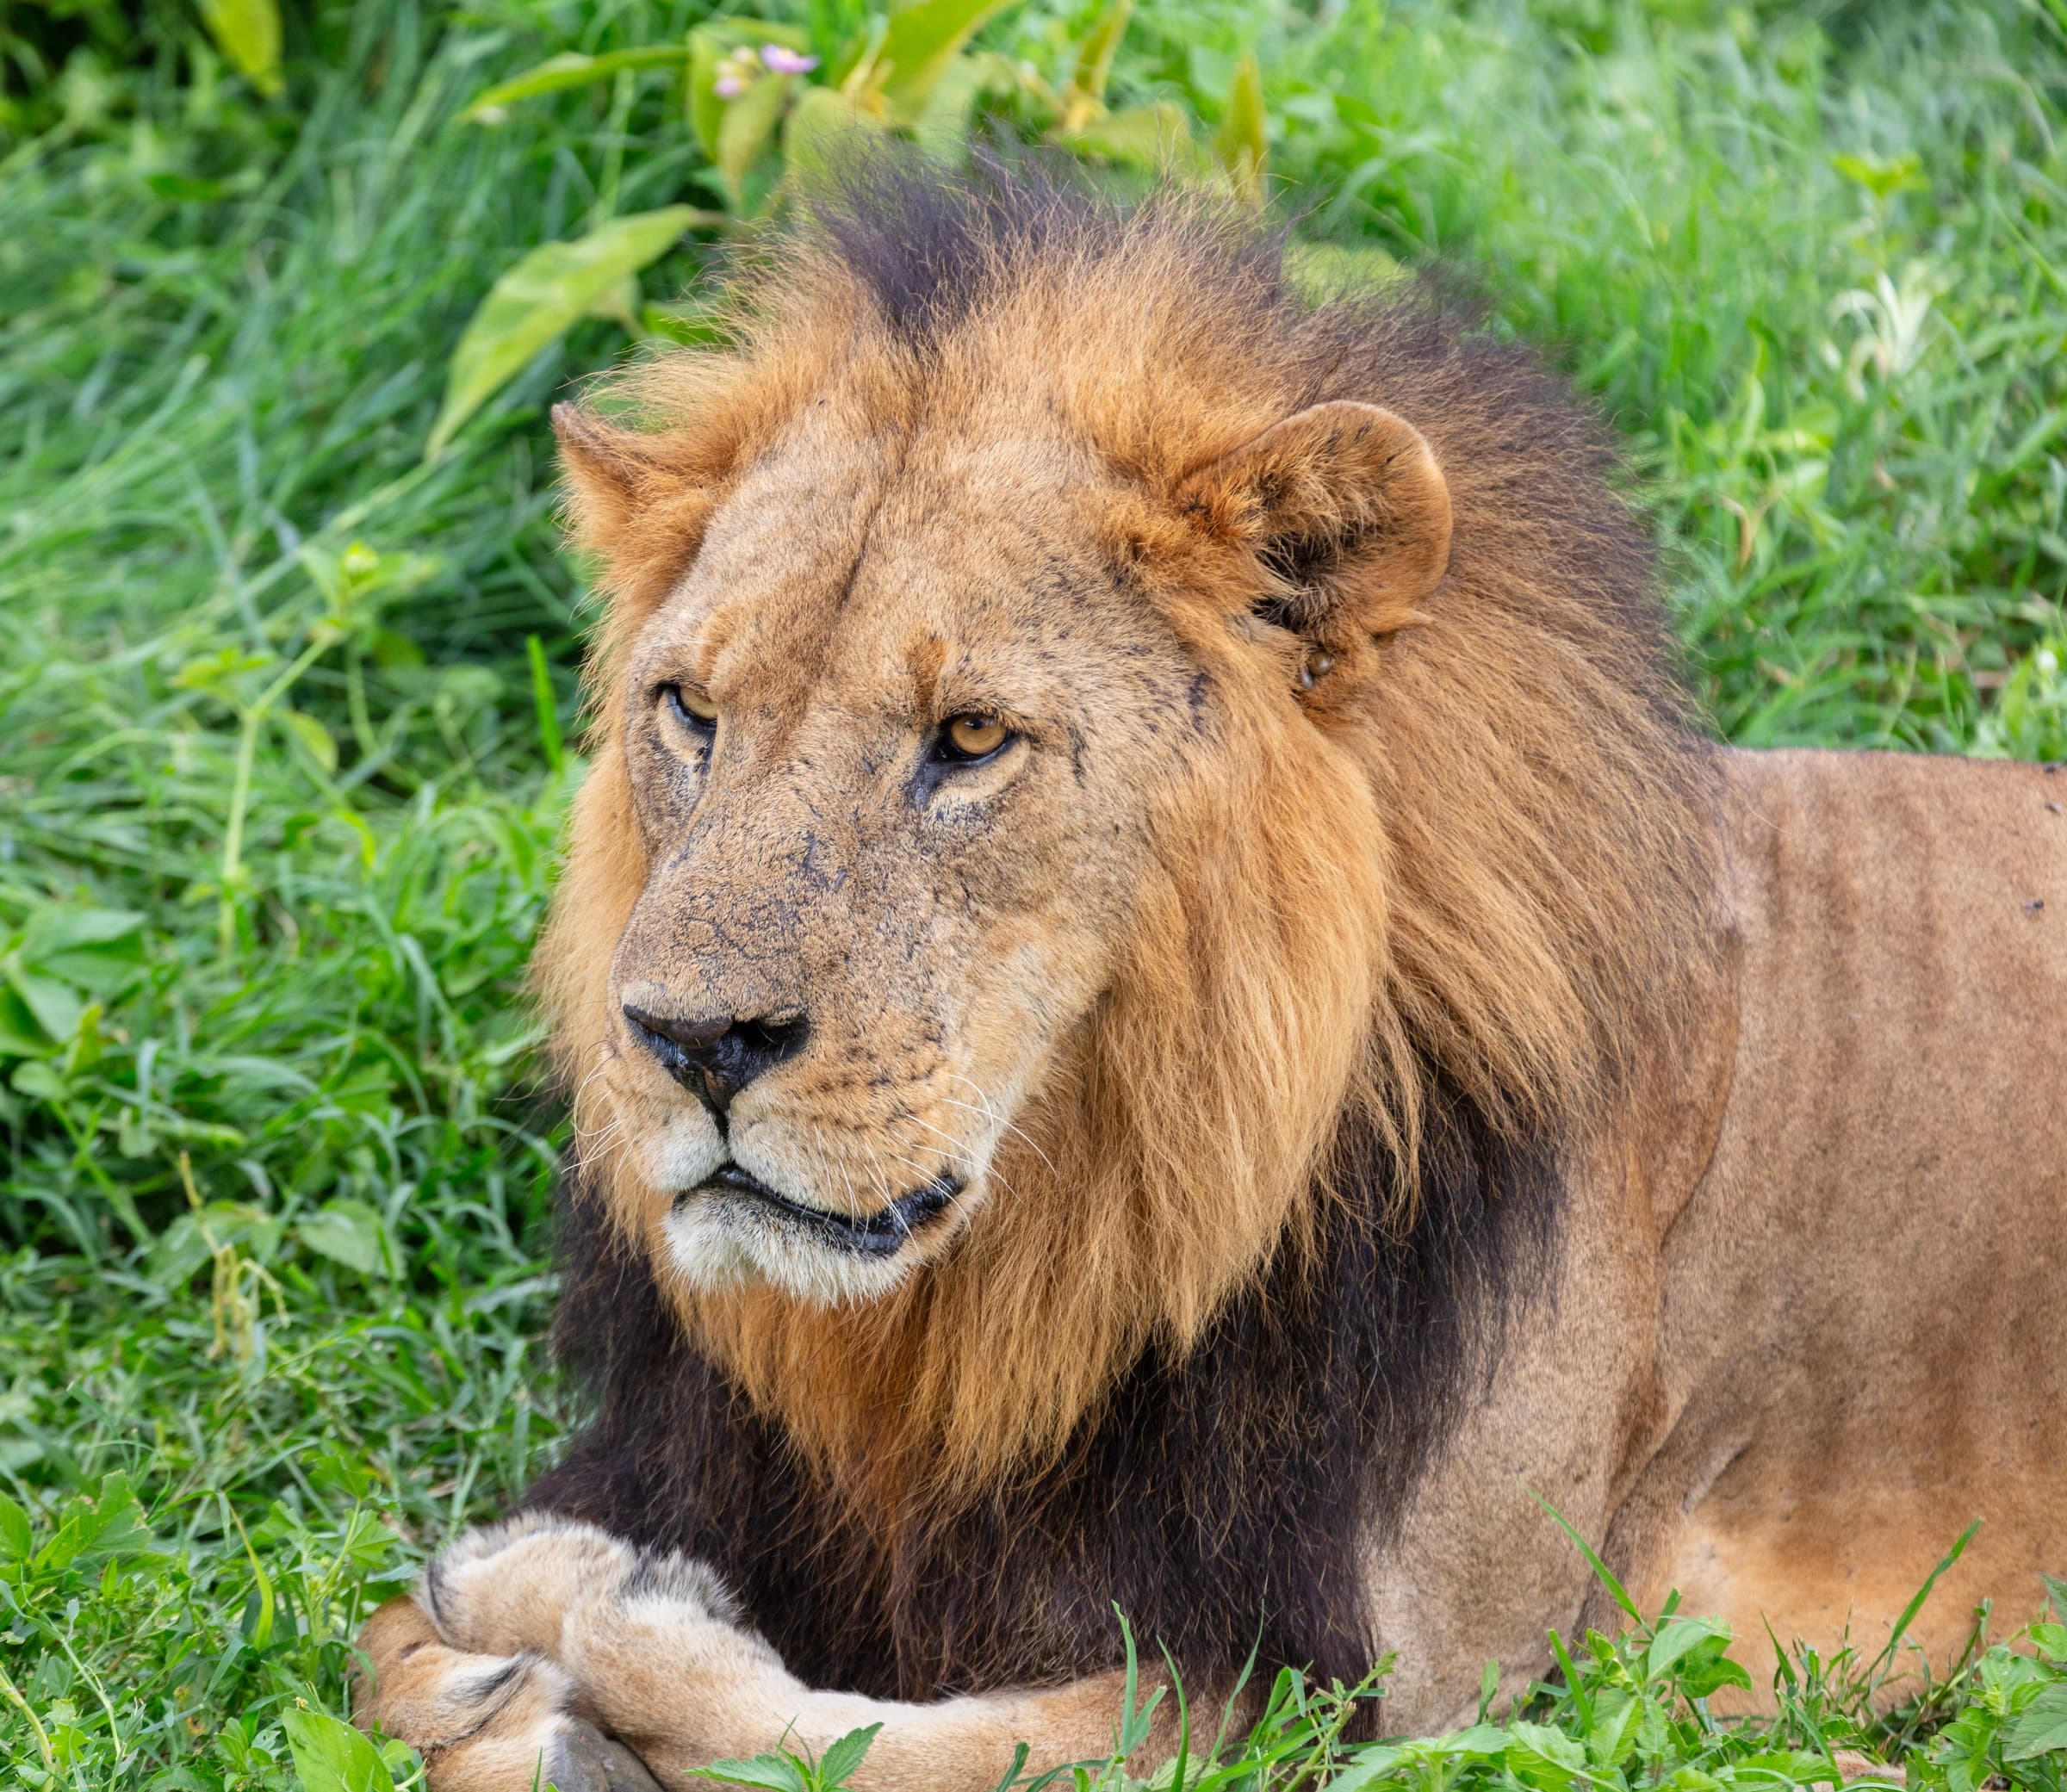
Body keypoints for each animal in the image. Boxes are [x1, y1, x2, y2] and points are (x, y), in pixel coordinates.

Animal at [354, 162, 2067, 1791]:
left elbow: (931, 1747)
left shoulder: (1385, 1682)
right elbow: (375, 1652)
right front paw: (497, 1662)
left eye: (969, 738)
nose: (690, 1041)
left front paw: (574, 1613)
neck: (1003, 1304)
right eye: (692, 711)